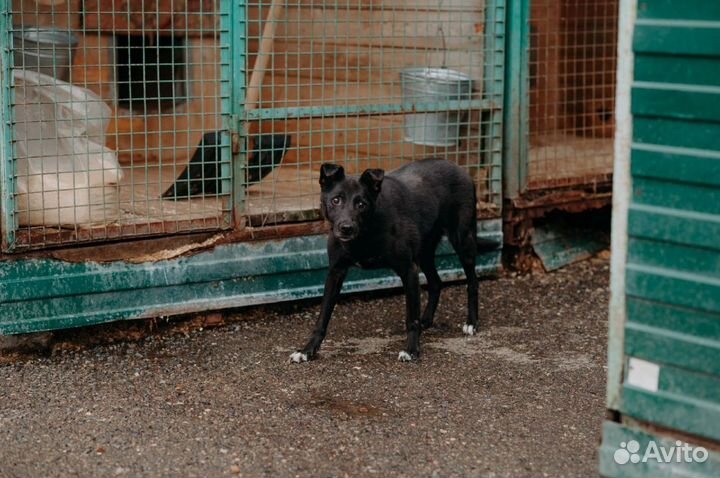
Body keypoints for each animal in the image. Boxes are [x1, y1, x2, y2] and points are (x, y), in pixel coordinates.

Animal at [290, 157, 498, 362]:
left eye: (361, 204)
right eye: (336, 200)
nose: (346, 228)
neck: (365, 233)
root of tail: (459, 168)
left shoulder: (408, 270)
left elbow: (410, 318)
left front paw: (412, 350)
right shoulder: (335, 272)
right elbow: (322, 317)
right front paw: (307, 350)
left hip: (463, 240)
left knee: (472, 283)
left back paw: (471, 323)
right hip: (424, 252)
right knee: (436, 283)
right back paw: (426, 320)